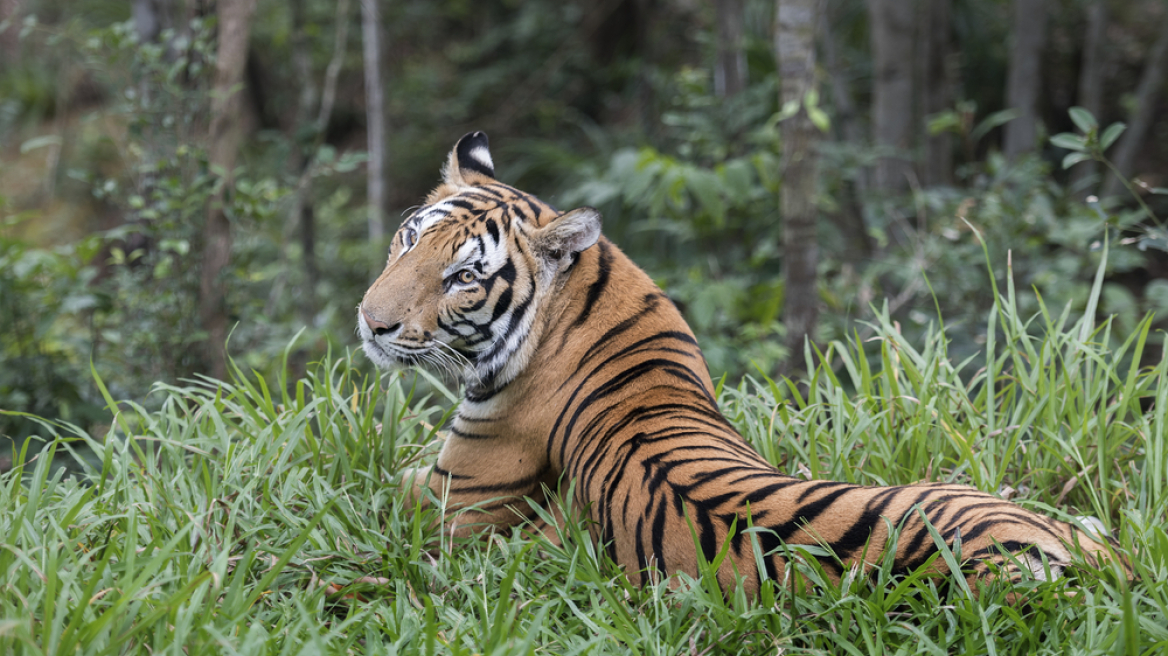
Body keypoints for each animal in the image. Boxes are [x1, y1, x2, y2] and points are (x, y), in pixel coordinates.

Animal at [357, 131, 1130, 592]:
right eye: (409, 238)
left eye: (462, 277)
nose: (371, 320)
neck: (591, 296)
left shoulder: (447, 500)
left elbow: (365, 479)